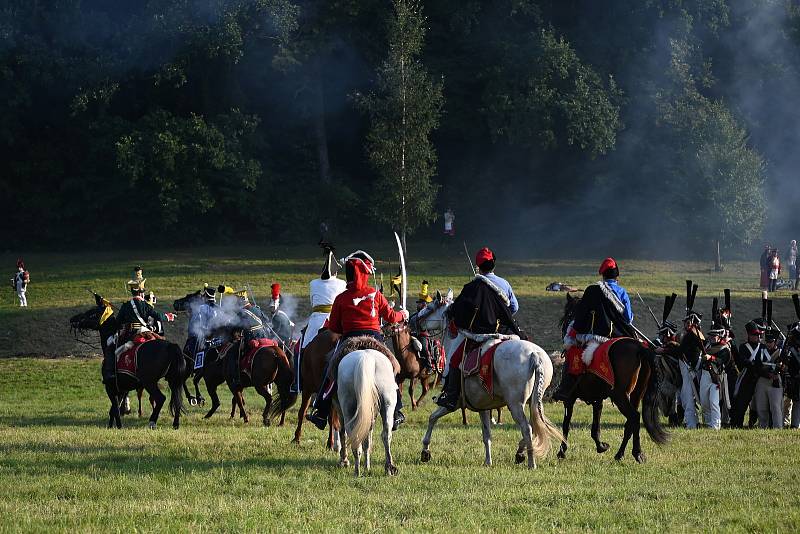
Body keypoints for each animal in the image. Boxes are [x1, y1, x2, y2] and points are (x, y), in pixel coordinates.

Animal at [69, 294, 188, 432]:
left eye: (92, 314)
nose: (73, 319)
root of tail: (170, 346)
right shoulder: (122, 389)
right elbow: (113, 410)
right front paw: (111, 426)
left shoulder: (111, 388)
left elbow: (115, 409)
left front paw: (119, 427)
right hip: (173, 381)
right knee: (177, 400)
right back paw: (175, 424)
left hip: (149, 382)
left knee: (160, 398)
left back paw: (152, 422)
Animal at [412, 292, 564, 472]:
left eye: (429, 307)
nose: (412, 321)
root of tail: (534, 354)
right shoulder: (483, 407)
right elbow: (487, 435)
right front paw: (488, 461)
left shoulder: (453, 403)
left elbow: (432, 418)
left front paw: (425, 451)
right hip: (533, 401)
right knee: (534, 425)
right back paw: (521, 452)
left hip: (515, 404)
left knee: (527, 428)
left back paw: (530, 461)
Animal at [556, 294, 668, 464]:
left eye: (568, 315)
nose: (564, 332)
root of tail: (639, 348)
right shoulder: (597, 400)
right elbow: (595, 427)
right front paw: (601, 446)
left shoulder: (570, 398)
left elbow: (566, 424)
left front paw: (561, 452)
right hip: (636, 394)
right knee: (631, 422)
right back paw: (626, 454)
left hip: (620, 395)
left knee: (634, 417)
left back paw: (631, 453)